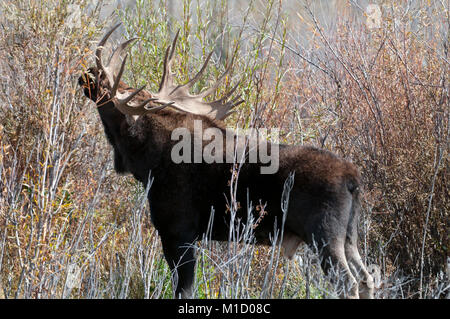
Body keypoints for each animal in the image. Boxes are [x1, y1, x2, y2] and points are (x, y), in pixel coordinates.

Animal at [79, 23, 374, 300]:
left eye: (111, 90)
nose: (86, 73)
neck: (144, 158)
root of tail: (353, 180)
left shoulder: (177, 229)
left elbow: (184, 290)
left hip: (324, 234)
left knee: (349, 283)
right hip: (349, 237)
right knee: (366, 278)